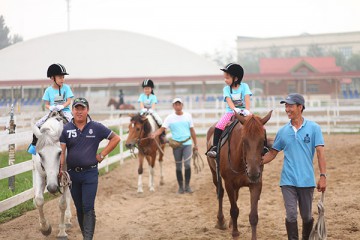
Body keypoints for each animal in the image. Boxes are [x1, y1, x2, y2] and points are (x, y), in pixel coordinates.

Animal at [207, 111, 272, 239]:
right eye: (244, 140)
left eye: (263, 140)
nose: (253, 172)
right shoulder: (229, 183)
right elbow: (234, 210)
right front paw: (235, 233)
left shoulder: (256, 184)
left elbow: (253, 215)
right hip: (214, 173)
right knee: (220, 193)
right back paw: (221, 221)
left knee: (235, 197)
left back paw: (231, 223)